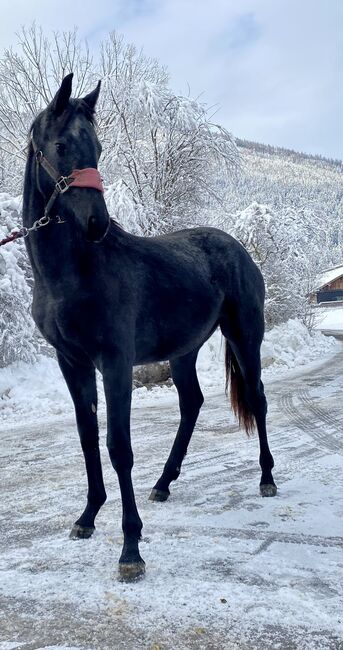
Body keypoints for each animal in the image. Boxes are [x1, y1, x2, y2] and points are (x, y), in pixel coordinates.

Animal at [23, 73, 276, 580]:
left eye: (98, 148)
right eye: (60, 145)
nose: (96, 223)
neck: (74, 272)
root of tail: (237, 248)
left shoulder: (115, 362)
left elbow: (118, 446)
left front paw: (131, 549)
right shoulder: (72, 362)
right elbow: (87, 438)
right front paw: (87, 518)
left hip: (244, 337)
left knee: (256, 399)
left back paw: (266, 478)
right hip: (184, 351)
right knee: (192, 403)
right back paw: (163, 482)